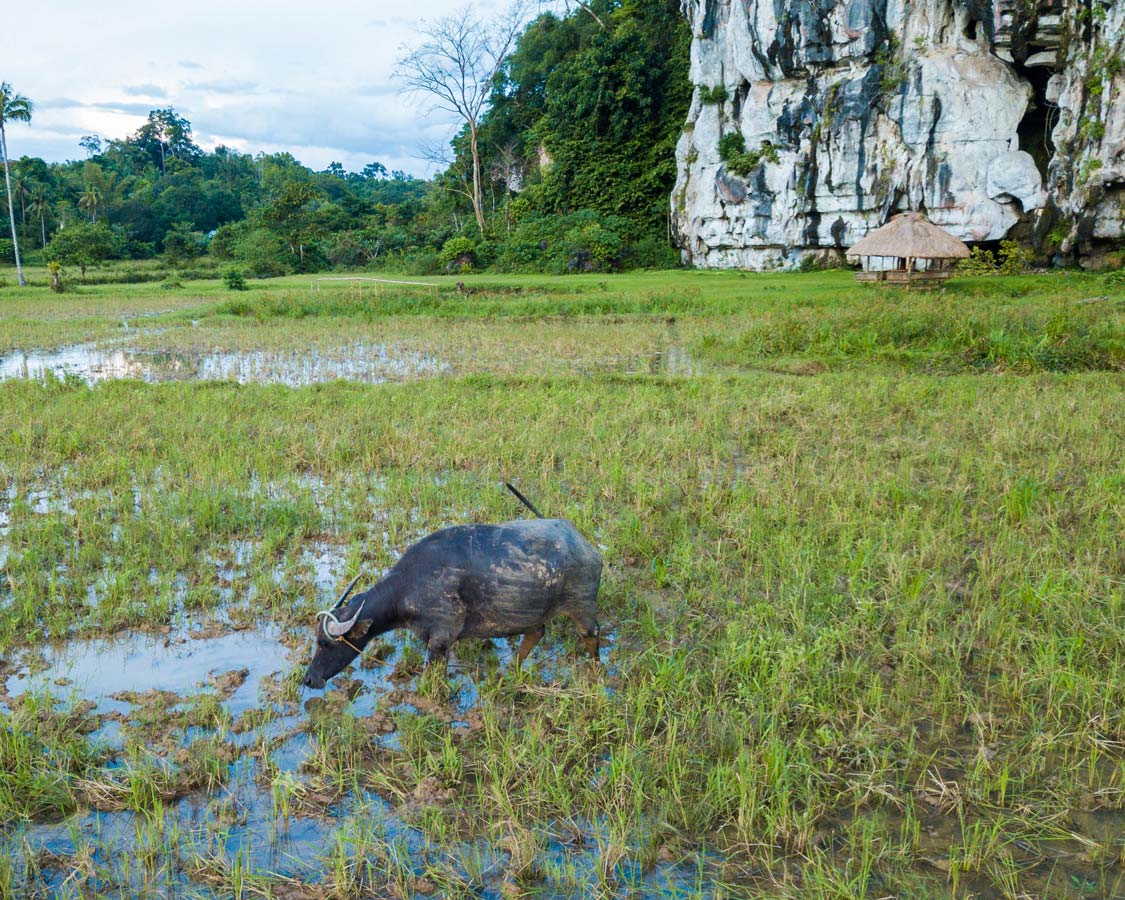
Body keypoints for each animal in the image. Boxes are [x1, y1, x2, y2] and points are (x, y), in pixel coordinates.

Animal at [299, 495, 598, 684]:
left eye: (324, 643)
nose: (309, 679)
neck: (408, 586)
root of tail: (584, 544)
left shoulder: (441, 638)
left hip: (582, 607)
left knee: (590, 635)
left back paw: (594, 672)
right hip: (532, 614)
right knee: (536, 632)